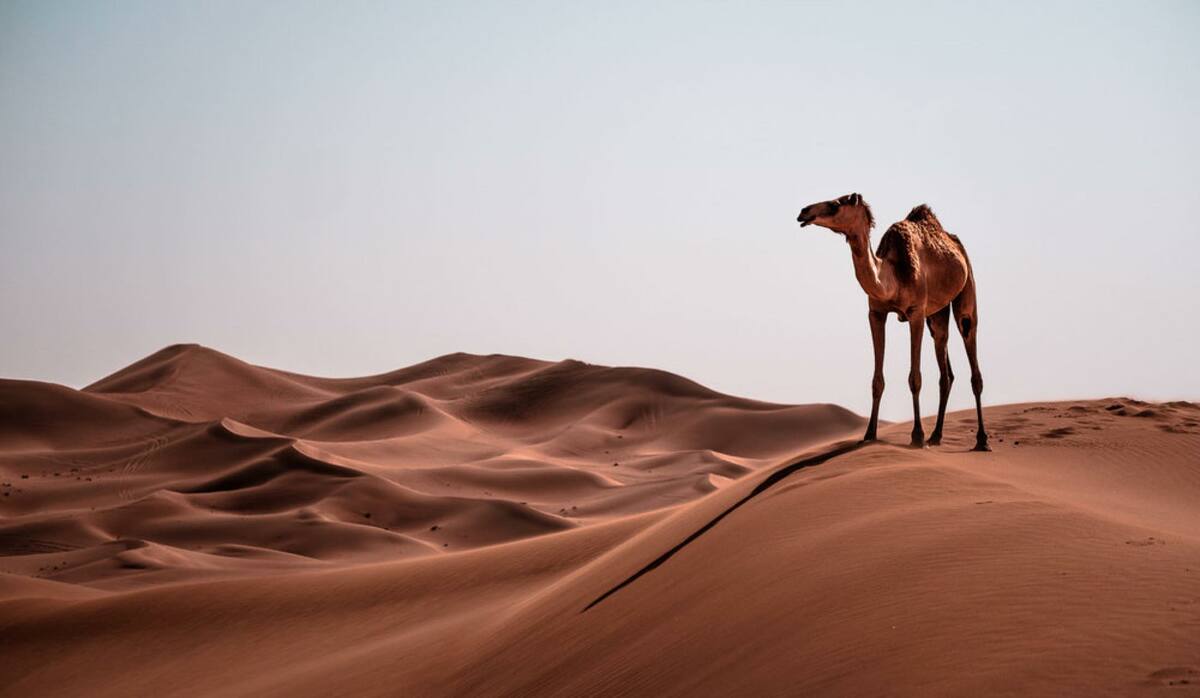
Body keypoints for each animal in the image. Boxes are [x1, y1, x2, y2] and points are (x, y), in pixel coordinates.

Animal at [801, 193, 988, 453]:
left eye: (836, 203)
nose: (804, 212)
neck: (892, 277)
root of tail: (956, 246)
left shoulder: (916, 312)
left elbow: (915, 378)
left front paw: (917, 436)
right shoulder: (876, 313)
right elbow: (876, 380)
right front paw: (869, 434)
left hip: (966, 290)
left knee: (970, 347)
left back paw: (981, 440)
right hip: (937, 314)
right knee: (945, 370)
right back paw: (936, 436)